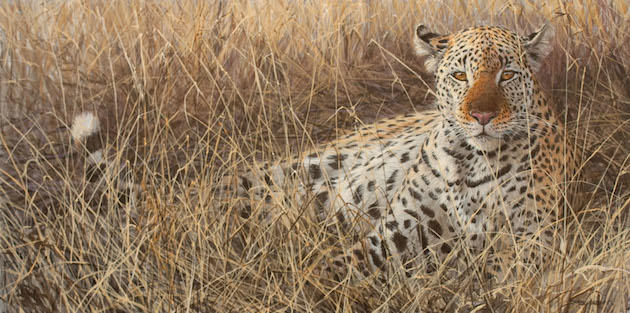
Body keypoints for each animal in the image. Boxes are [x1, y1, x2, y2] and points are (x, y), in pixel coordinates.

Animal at [73, 24, 576, 282]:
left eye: (507, 74)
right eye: (459, 76)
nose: (483, 116)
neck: (469, 159)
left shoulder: (533, 238)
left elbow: (496, 263)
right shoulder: (397, 231)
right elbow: (340, 267)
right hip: (277, 179)